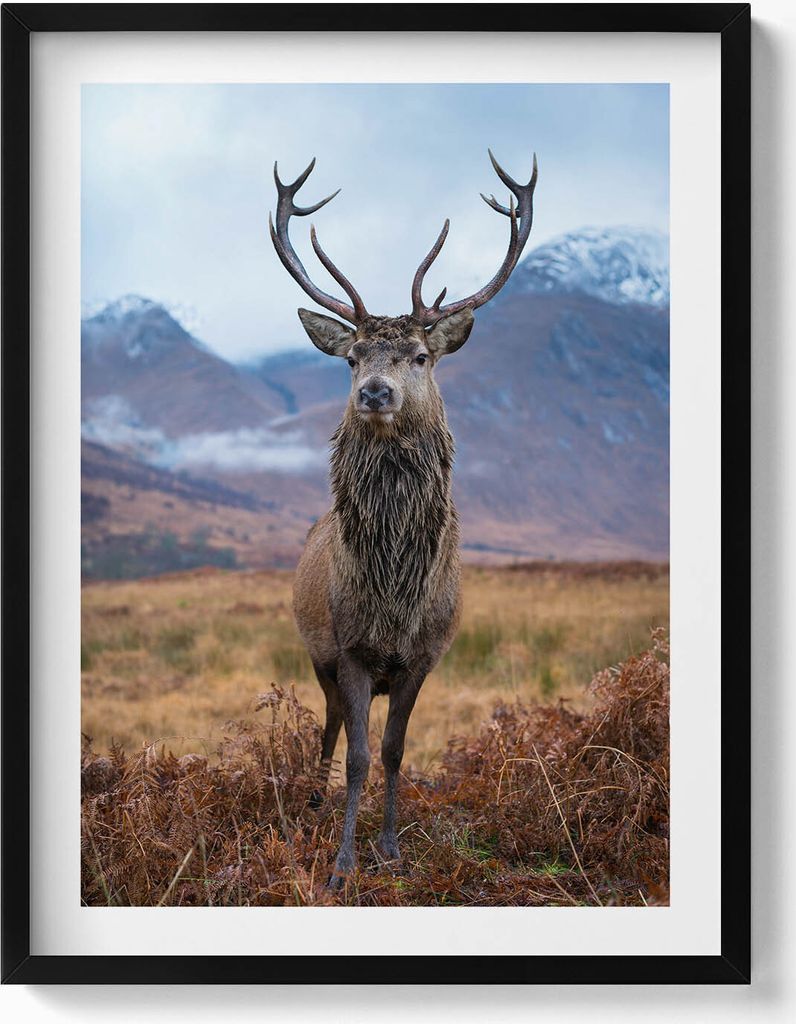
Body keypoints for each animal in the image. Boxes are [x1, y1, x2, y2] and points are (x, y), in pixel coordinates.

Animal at [269, 149, 538, 887]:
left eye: (421, 356)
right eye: (352, 356)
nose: (374, 391)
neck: (395, 597)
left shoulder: (424, 657)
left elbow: (393, 751)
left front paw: (390, 849)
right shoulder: (351, 650)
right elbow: (359, 756)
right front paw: (342, 864)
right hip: (317, 653)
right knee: (329, 724)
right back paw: (311, 798)